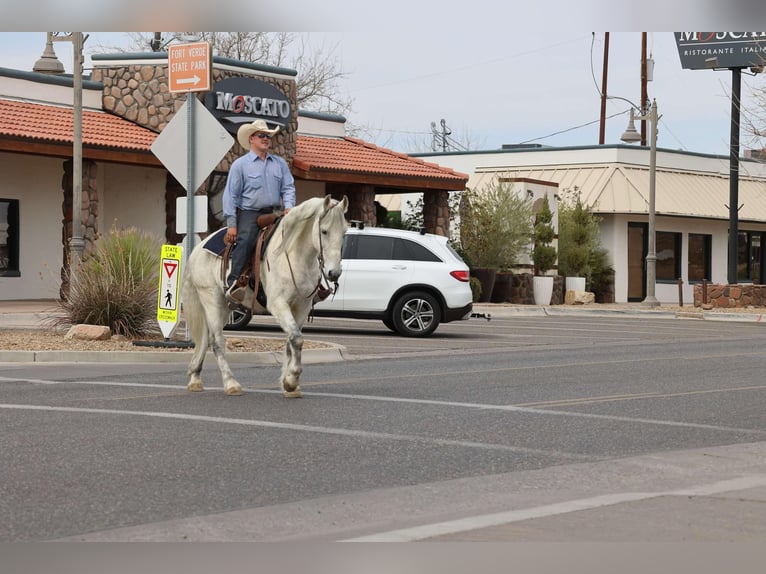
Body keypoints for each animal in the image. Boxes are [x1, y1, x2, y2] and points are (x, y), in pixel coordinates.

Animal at [182, 196, 350, 398]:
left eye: (344, 231)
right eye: (324, 231)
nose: (334, 273)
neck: (293, 255)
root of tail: (198, 249)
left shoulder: (301, 306)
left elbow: (292, 340)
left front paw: (289, 384)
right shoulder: (278, 304)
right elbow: (297, 338)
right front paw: (292, 380)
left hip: (225, 306)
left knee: (206, 338)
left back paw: (195, 378)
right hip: (212, 299)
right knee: (217, 342)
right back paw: (231, 383)